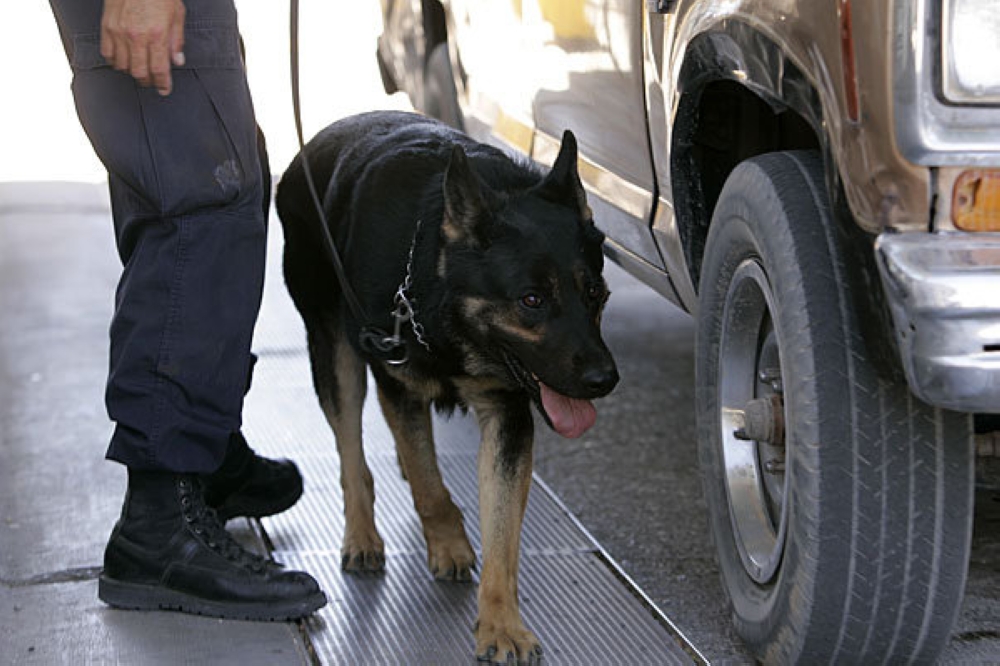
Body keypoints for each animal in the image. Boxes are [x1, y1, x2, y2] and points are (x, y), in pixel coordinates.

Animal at [276, 111, 616, 660]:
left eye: (595, 294)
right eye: (531, 300)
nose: (604, 380)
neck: (433, 284)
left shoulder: (507, 414)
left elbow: (501, 530)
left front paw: (500, 623)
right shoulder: (398, 388)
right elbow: (429, 483)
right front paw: (450, 542)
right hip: (335, 354)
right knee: (351, 449)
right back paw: (361, 534)